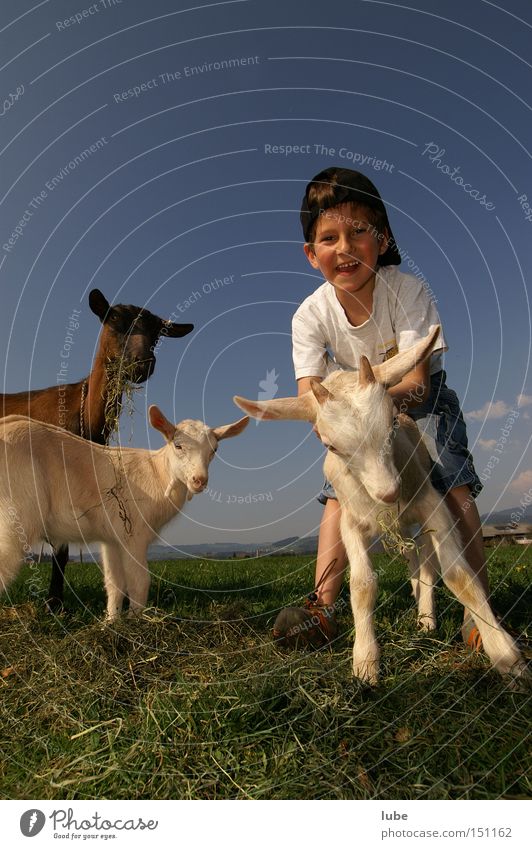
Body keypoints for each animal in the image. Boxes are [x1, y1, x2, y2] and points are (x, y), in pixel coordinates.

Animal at [0, 404, 249, 616]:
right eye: (178, 445)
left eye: (214, 450)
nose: (199, 480)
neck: (157, 473)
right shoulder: (134, 534)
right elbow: (139, 581)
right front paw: (136, 620)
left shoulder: (112, 539)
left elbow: (115, 583)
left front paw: (111, 621)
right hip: (18, 513)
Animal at [236, 328, 528, 684]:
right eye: (331, 445)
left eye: (392, 423)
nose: (388, 492)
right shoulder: (352, 522)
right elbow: (362, 585)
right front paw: (365, 663)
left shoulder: (432, 507)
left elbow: (459, 576)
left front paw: (506, 655)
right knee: (416, 563)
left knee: (427, 561)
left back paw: (428, 619)